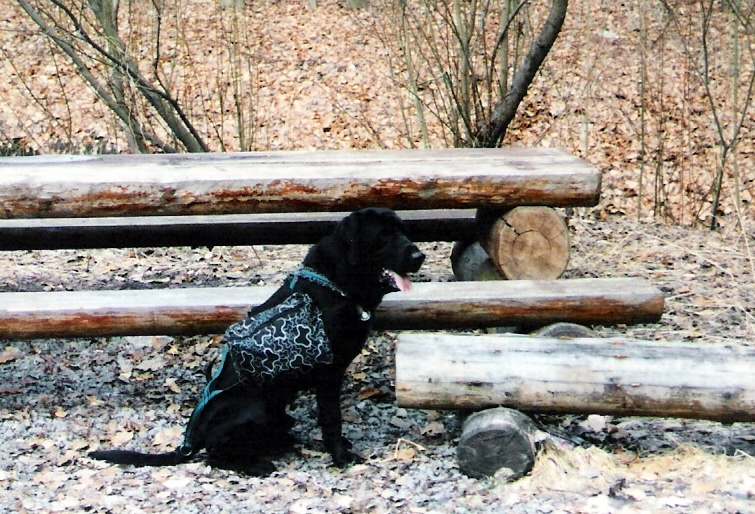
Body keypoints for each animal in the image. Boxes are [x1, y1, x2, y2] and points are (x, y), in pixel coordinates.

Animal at [88, 207, 426, 472]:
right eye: (383, 235)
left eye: (403, 231)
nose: (419, 256)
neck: (336, 285)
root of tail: (192, 440)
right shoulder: (328, 375)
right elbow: (332, 419)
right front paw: (341, 456)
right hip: (256, 408)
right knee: (214, 456)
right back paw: (259, 465)